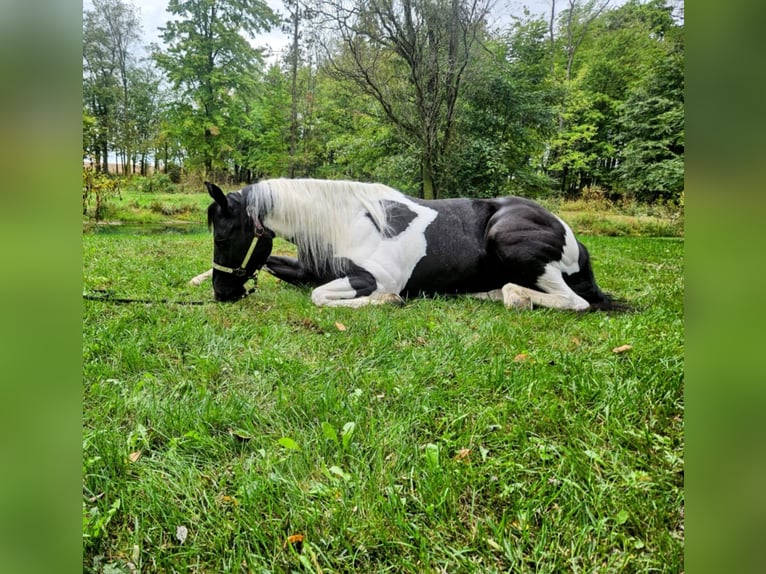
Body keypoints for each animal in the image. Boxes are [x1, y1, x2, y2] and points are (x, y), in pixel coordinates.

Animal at [199, 178, 624, 311]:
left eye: (222, 235)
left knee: (575, 302)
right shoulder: (305, 267)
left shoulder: (375, 277)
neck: (345, 222)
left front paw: (388, 301)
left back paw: (517, 297)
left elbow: (319, 296)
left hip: (508, 239)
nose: (222, 292)